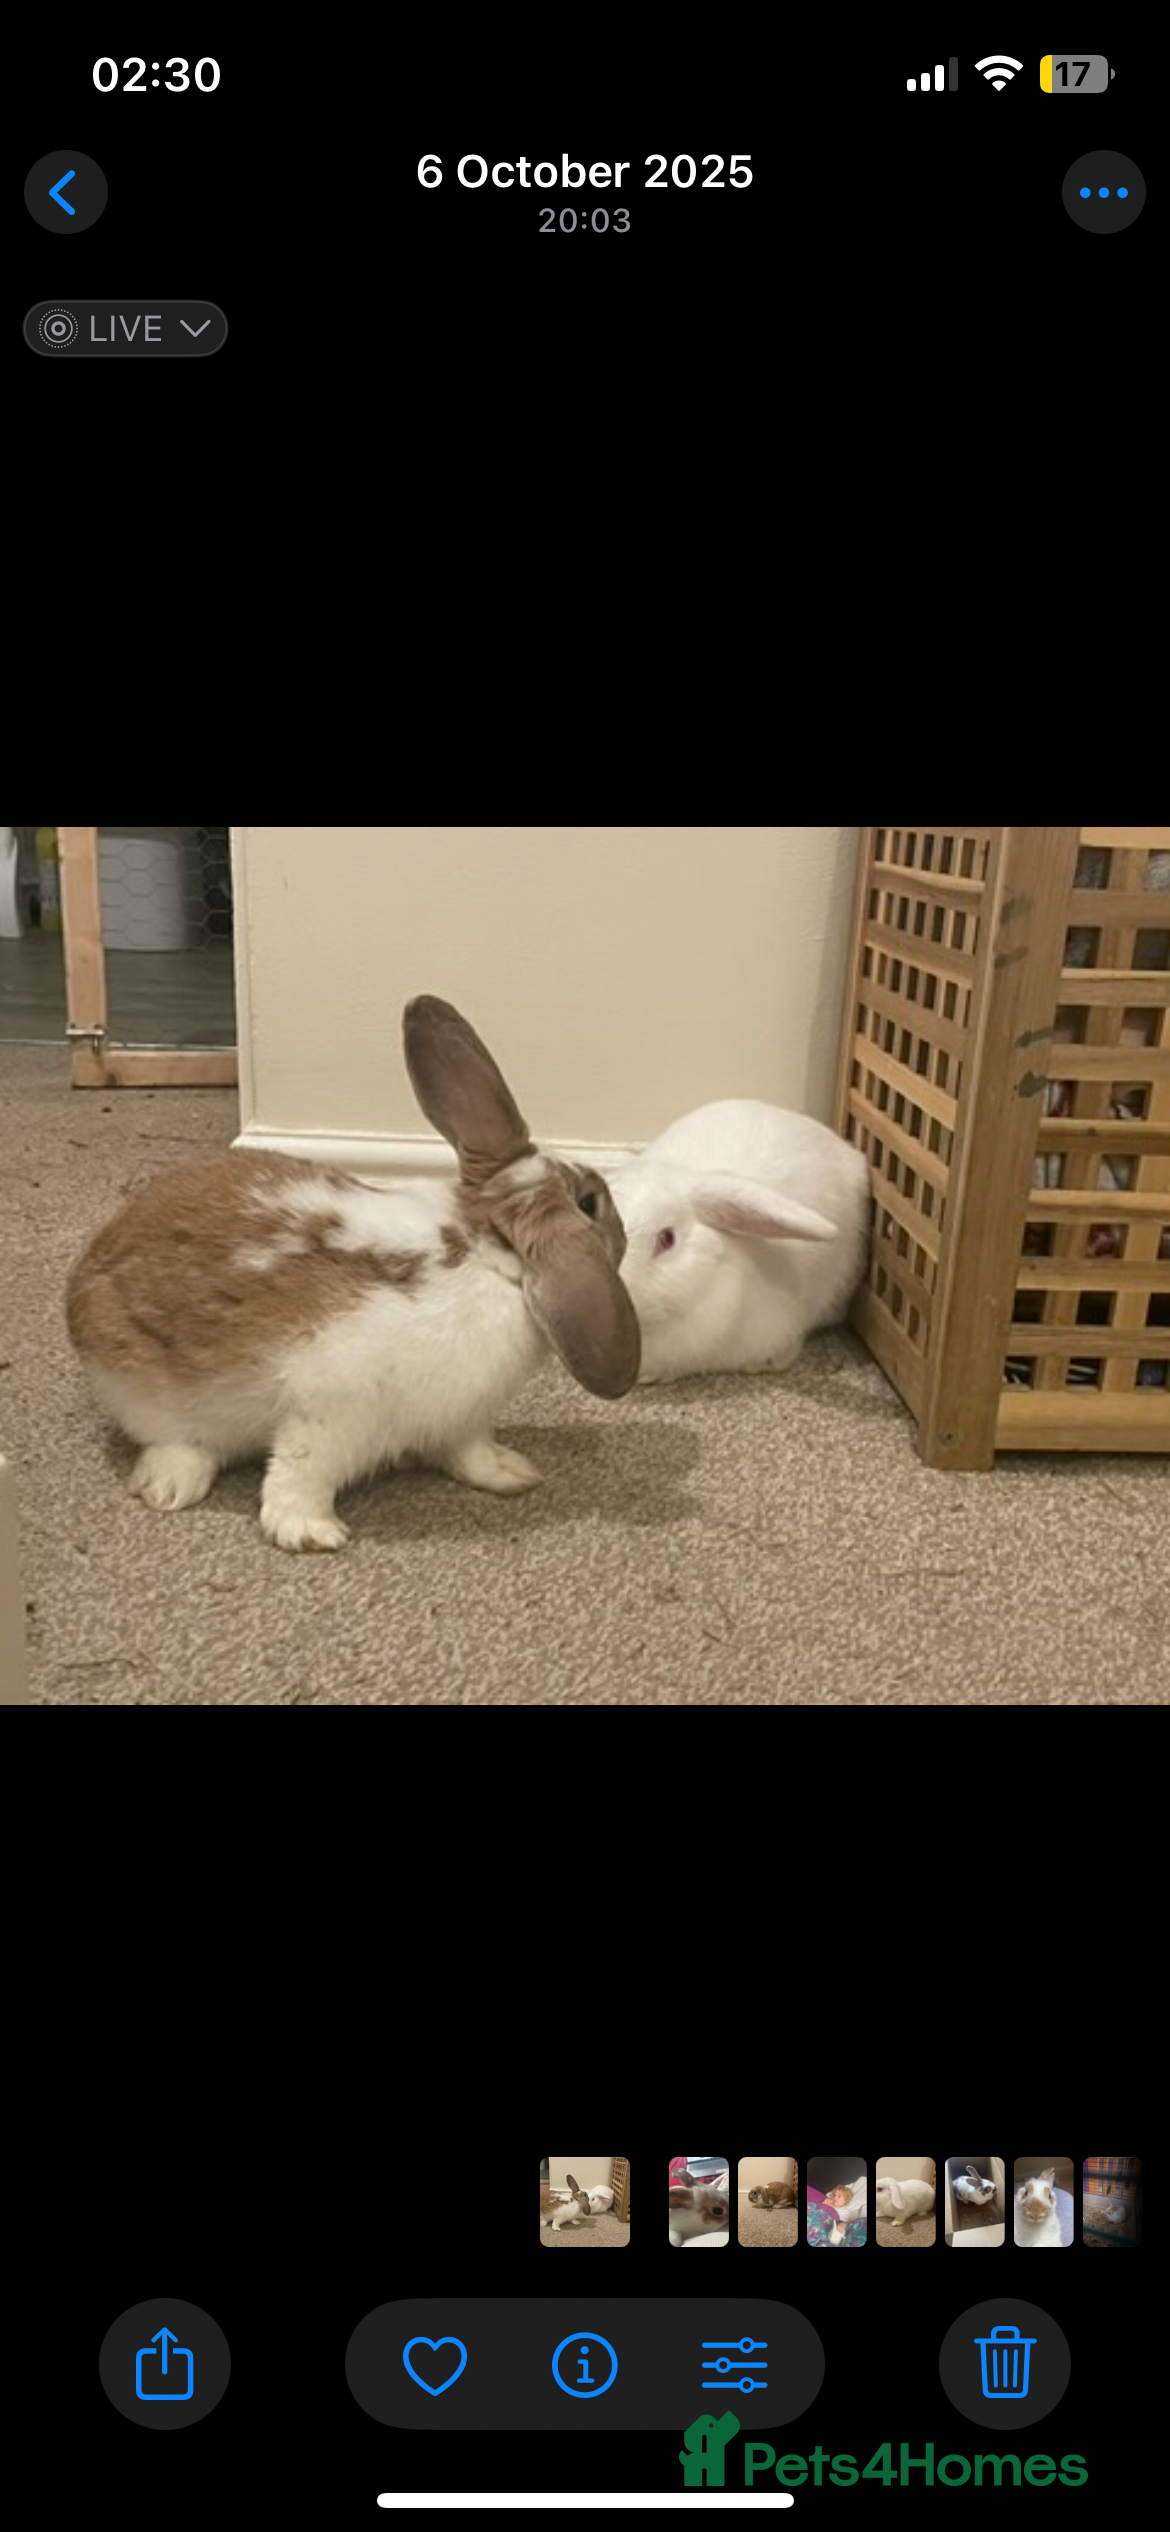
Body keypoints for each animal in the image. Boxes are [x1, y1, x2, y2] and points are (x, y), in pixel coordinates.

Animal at [65, 995, 640, 1551]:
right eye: (590, 1204)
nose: (627, 1232)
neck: (482, 1249)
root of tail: (86, 1275)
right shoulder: (332, 1408)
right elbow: (300, 1472)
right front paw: (310, 1532)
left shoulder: (461, 1419)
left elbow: (470, 1454)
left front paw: (512, 1473)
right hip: (149, 1394)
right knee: (174, 1441)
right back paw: (170, 1487)